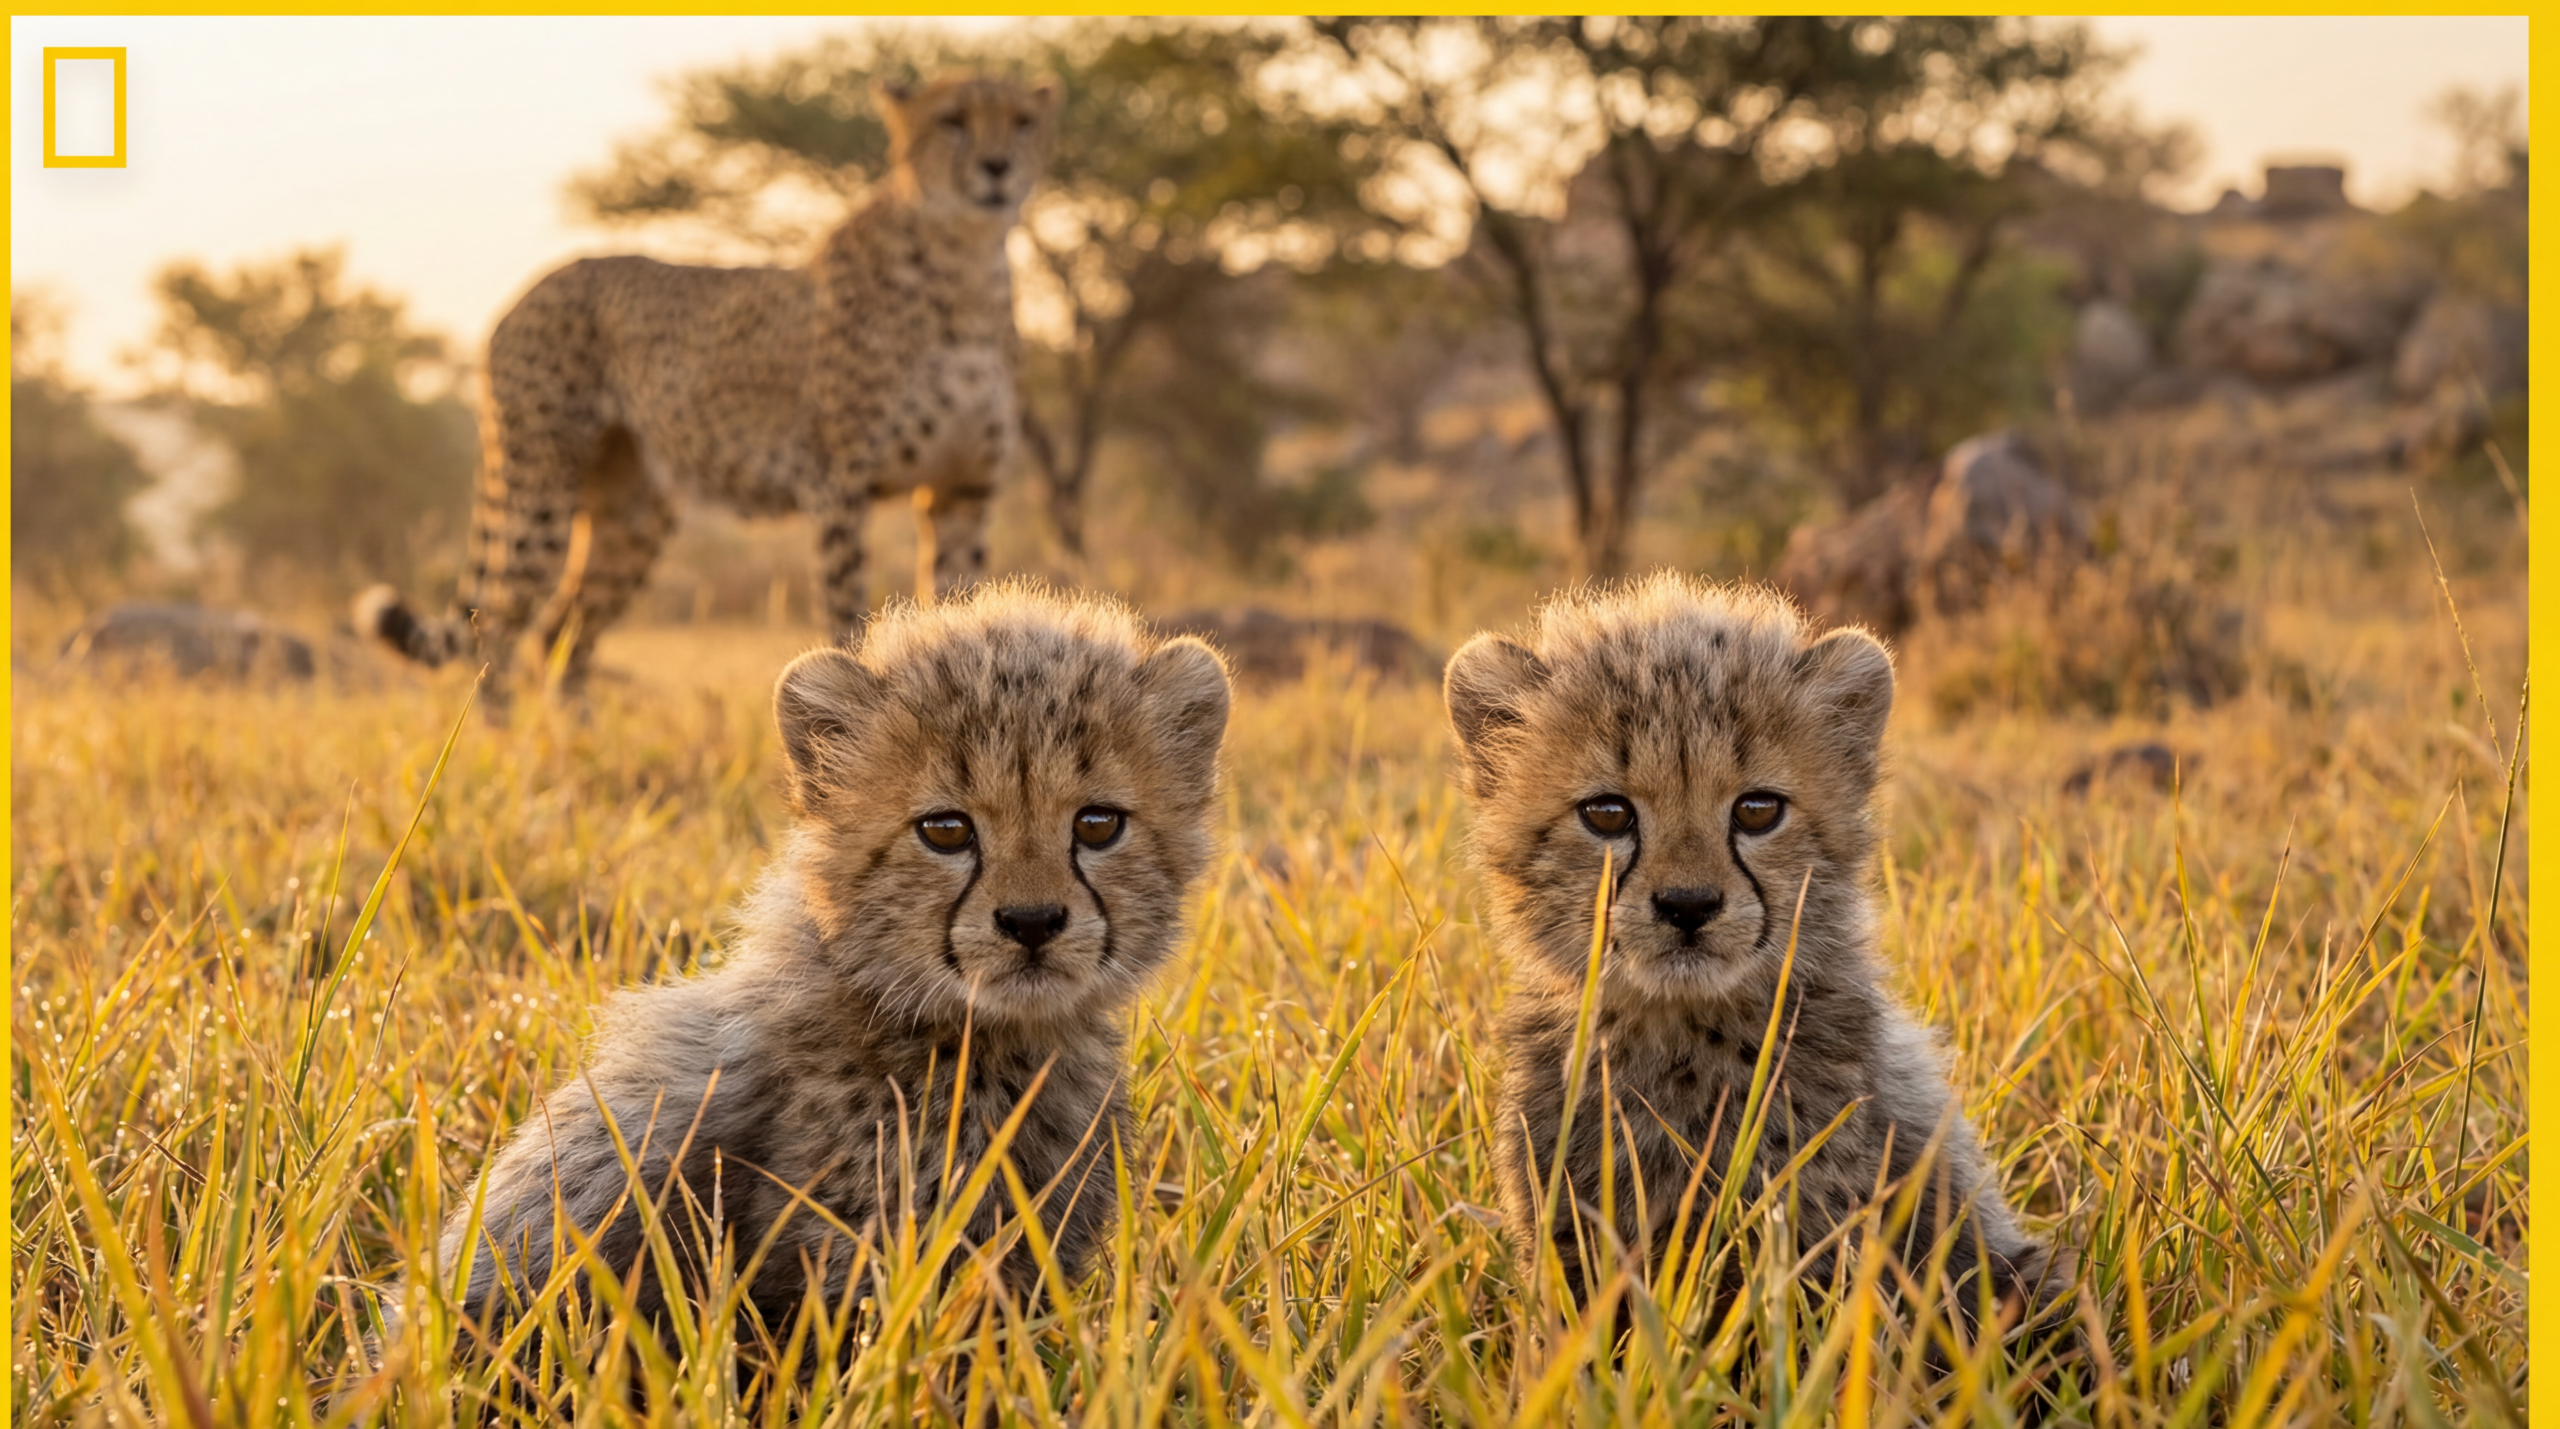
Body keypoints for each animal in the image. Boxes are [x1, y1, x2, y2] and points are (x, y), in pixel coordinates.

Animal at [354, 75, 1055, 713]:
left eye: (1022, 122)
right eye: (952, 120)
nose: (997, 167)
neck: (966, 269)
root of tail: (532, 288)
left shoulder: (962, 489)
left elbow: (964, 613)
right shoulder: (839, 485)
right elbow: (848, 623)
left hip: (633, 515)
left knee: (561, 631)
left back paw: (578, 744)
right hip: (540, 491)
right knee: (498, 626)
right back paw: (507, 748)